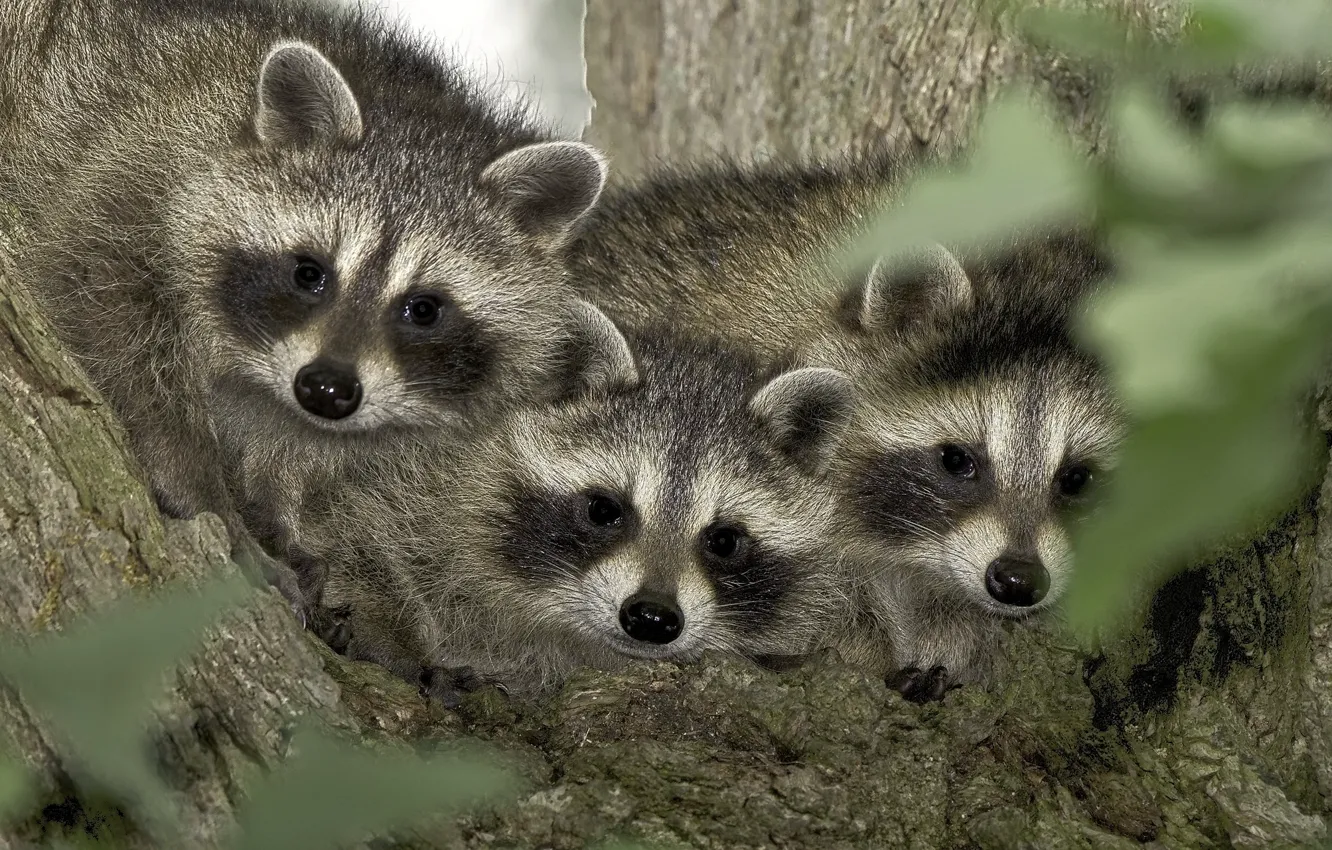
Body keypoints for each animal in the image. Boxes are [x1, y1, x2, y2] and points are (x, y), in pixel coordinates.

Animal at [0, 0, 607, 615]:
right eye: (309, 273)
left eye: (423, 309)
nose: (326, 389)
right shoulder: (127, 169)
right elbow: (107, 312)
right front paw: (203, 488)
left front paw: (276, 511)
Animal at [299, 302, 857, 701]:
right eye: (605, 510)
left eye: (723, 540)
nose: (651, 617)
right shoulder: (417, 474)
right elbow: (359, 523)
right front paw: (392, 629)